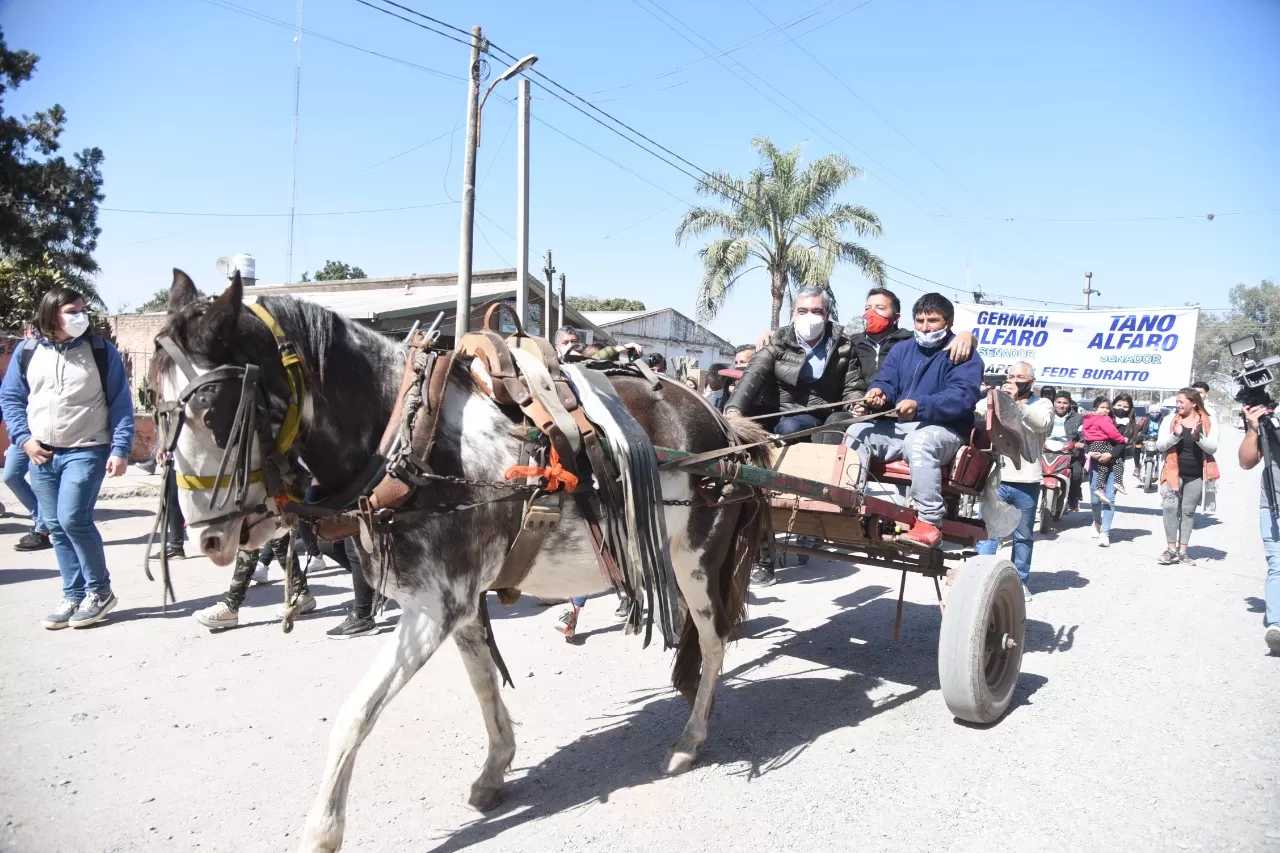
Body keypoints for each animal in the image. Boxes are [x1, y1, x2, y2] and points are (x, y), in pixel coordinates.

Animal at [152, 270, 768, 850]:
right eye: (159, 410)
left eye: (215, 410)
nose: (209, 537)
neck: (408, 442)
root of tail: (721, 425)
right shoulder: (462, 603)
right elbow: (483, 686)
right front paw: (496, 769)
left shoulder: (435, 605)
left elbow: (355, 715)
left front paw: (322, 832)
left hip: (696, 563)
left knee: (715, 642)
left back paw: (690, 739)